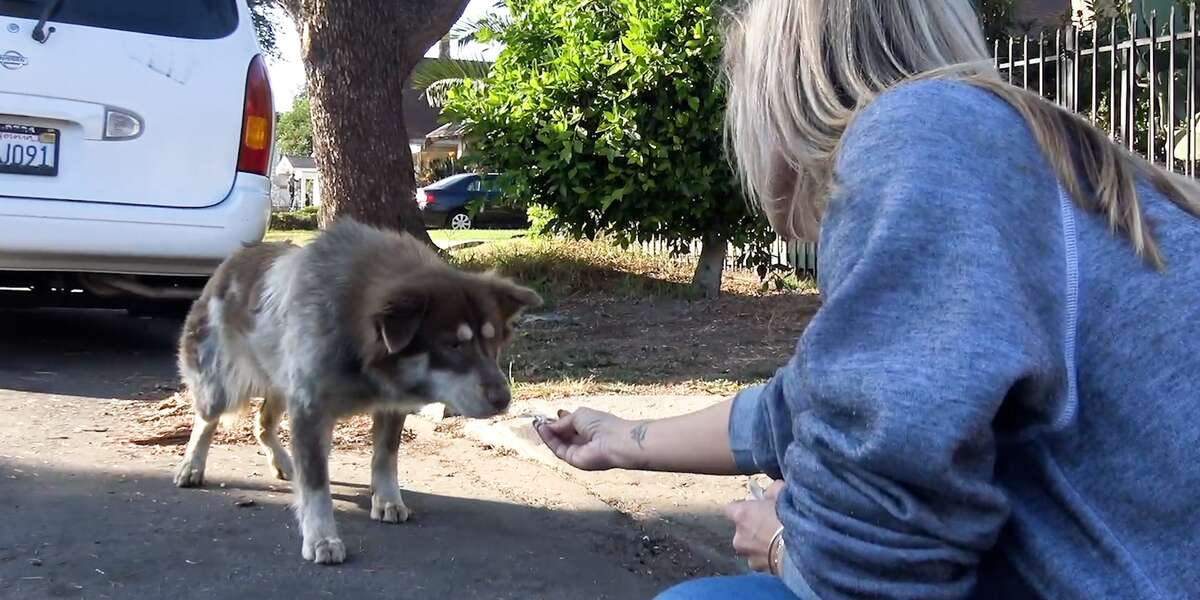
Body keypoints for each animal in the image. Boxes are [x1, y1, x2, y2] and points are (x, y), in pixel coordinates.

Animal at [171, 219, 542, 561]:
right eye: (453, 345)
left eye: (493, 343)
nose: (503, 400)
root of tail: (235, 258)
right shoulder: (309, 408)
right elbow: (316, 484)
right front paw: (321, 537)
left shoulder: (390, 403)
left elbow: (385, 456)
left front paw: (387, 499)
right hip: (221, 383)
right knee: (206, 420)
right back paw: (192, 466)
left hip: (278, 382)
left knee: (262, 424)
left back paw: (284, 462)